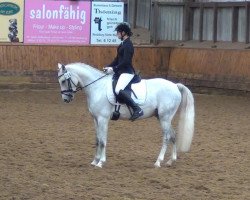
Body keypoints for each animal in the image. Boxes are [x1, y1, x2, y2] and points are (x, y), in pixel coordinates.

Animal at [57, 63, 195, 169]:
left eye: (63, 81)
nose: (65, 99)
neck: (97, 87)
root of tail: (175, 86)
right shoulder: (96, 119)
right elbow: (97, 139)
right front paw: (95, 161)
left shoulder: (103, 119)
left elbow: (103, 140)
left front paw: (101, 162)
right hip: (163, 117)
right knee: (173, 135)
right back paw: (171, 160)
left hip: (165, 118)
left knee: (166, 137)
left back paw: (158, 162)